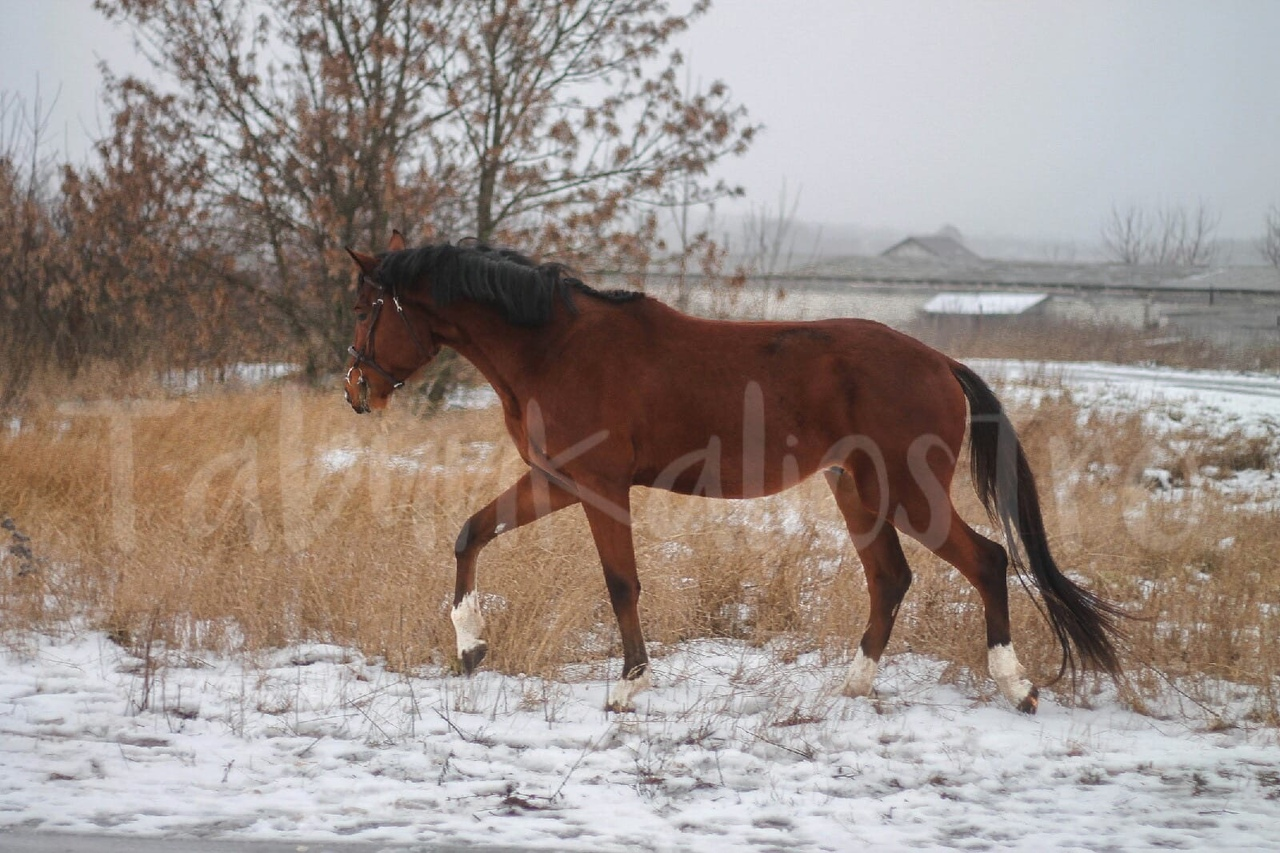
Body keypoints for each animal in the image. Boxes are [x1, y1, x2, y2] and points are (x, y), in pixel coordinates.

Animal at [343, 230, 1121, 712]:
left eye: (365, 307)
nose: (357, 389)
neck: (555, 345)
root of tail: (939, 362)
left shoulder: (599, 487)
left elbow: (621, 582)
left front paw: (628, 685)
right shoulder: (556, 480)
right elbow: (470, 534)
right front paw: (471, 645)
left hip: (909, 490)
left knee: (986, 560)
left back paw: (1016, 686)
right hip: (859, 489)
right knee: (891, 578)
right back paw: (854, 684)